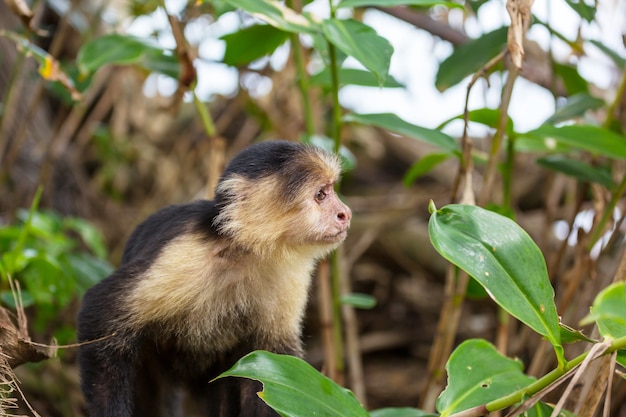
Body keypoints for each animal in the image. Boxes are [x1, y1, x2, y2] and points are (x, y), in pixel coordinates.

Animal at [77, 141, 352, 416]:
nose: (345, 213)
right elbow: (101, 315)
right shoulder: (184, 254)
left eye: (331, 190)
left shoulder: (289, 274)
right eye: (320, 195)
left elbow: (271, 370)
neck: (247, 252)